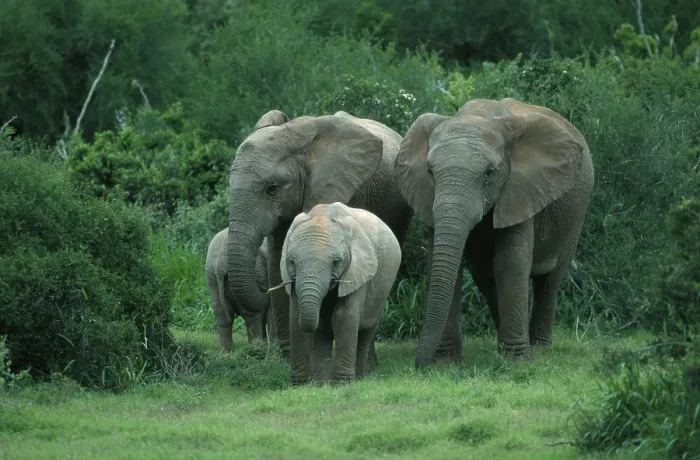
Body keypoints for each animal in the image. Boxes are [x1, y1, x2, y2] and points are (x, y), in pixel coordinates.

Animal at [277, 202, 402, 385]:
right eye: (291, 261)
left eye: (336, 261)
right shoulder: (291, 277)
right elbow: (294, 318)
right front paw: (300, 385)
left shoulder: (357, 270)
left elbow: (344, 317)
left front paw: (342, 384)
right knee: (323, 331)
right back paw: (321, 383)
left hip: (383, 290)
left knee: (366, 332)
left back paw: (358, 379)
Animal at [394, 97, 594, 367]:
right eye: (430, 172)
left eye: (489, 173)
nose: (419, 365)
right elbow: (446, 264)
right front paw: (445, 364)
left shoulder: (520, 189)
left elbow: (510, 264)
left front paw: (517, 363)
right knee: (486, 278)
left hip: (576, 214)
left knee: (549, 281)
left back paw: (539, 348)